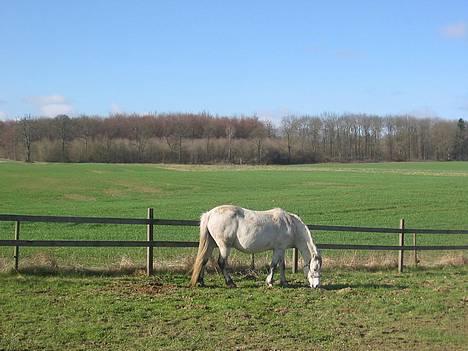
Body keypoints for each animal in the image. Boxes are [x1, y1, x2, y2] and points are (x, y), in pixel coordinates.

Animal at [191, 206, 322, 288]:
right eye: (315, 269)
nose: (316, 285)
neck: (291, 225)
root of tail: (209, 214)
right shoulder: (278, 249)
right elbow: (273, 265)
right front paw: (269, 282)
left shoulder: (281, 250)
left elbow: (282, 266)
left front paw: (284, 282)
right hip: (224, 247)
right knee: (221, 263)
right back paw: (230, 283)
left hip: (211, 244)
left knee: (204, 260)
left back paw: (201, 281)